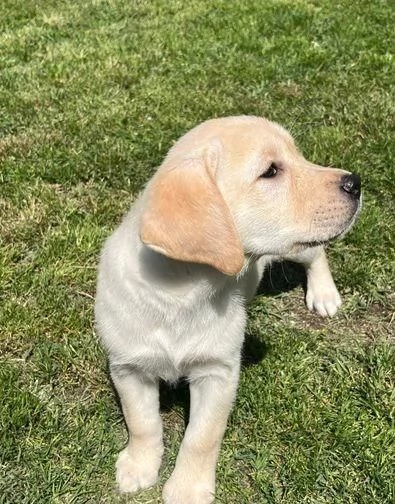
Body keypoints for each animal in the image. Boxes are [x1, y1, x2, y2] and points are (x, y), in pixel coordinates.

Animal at [95, 115, 362, 504]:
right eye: (270, 171)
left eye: (297, 156)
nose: (355, 182)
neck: (183, 293)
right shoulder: (129, 368)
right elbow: (142, 423)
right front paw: (139, 466)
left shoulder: (218, 373)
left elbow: (202, 438)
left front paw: (187, 489)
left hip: (297, 248)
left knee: (317, 254)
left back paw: (324, 295)